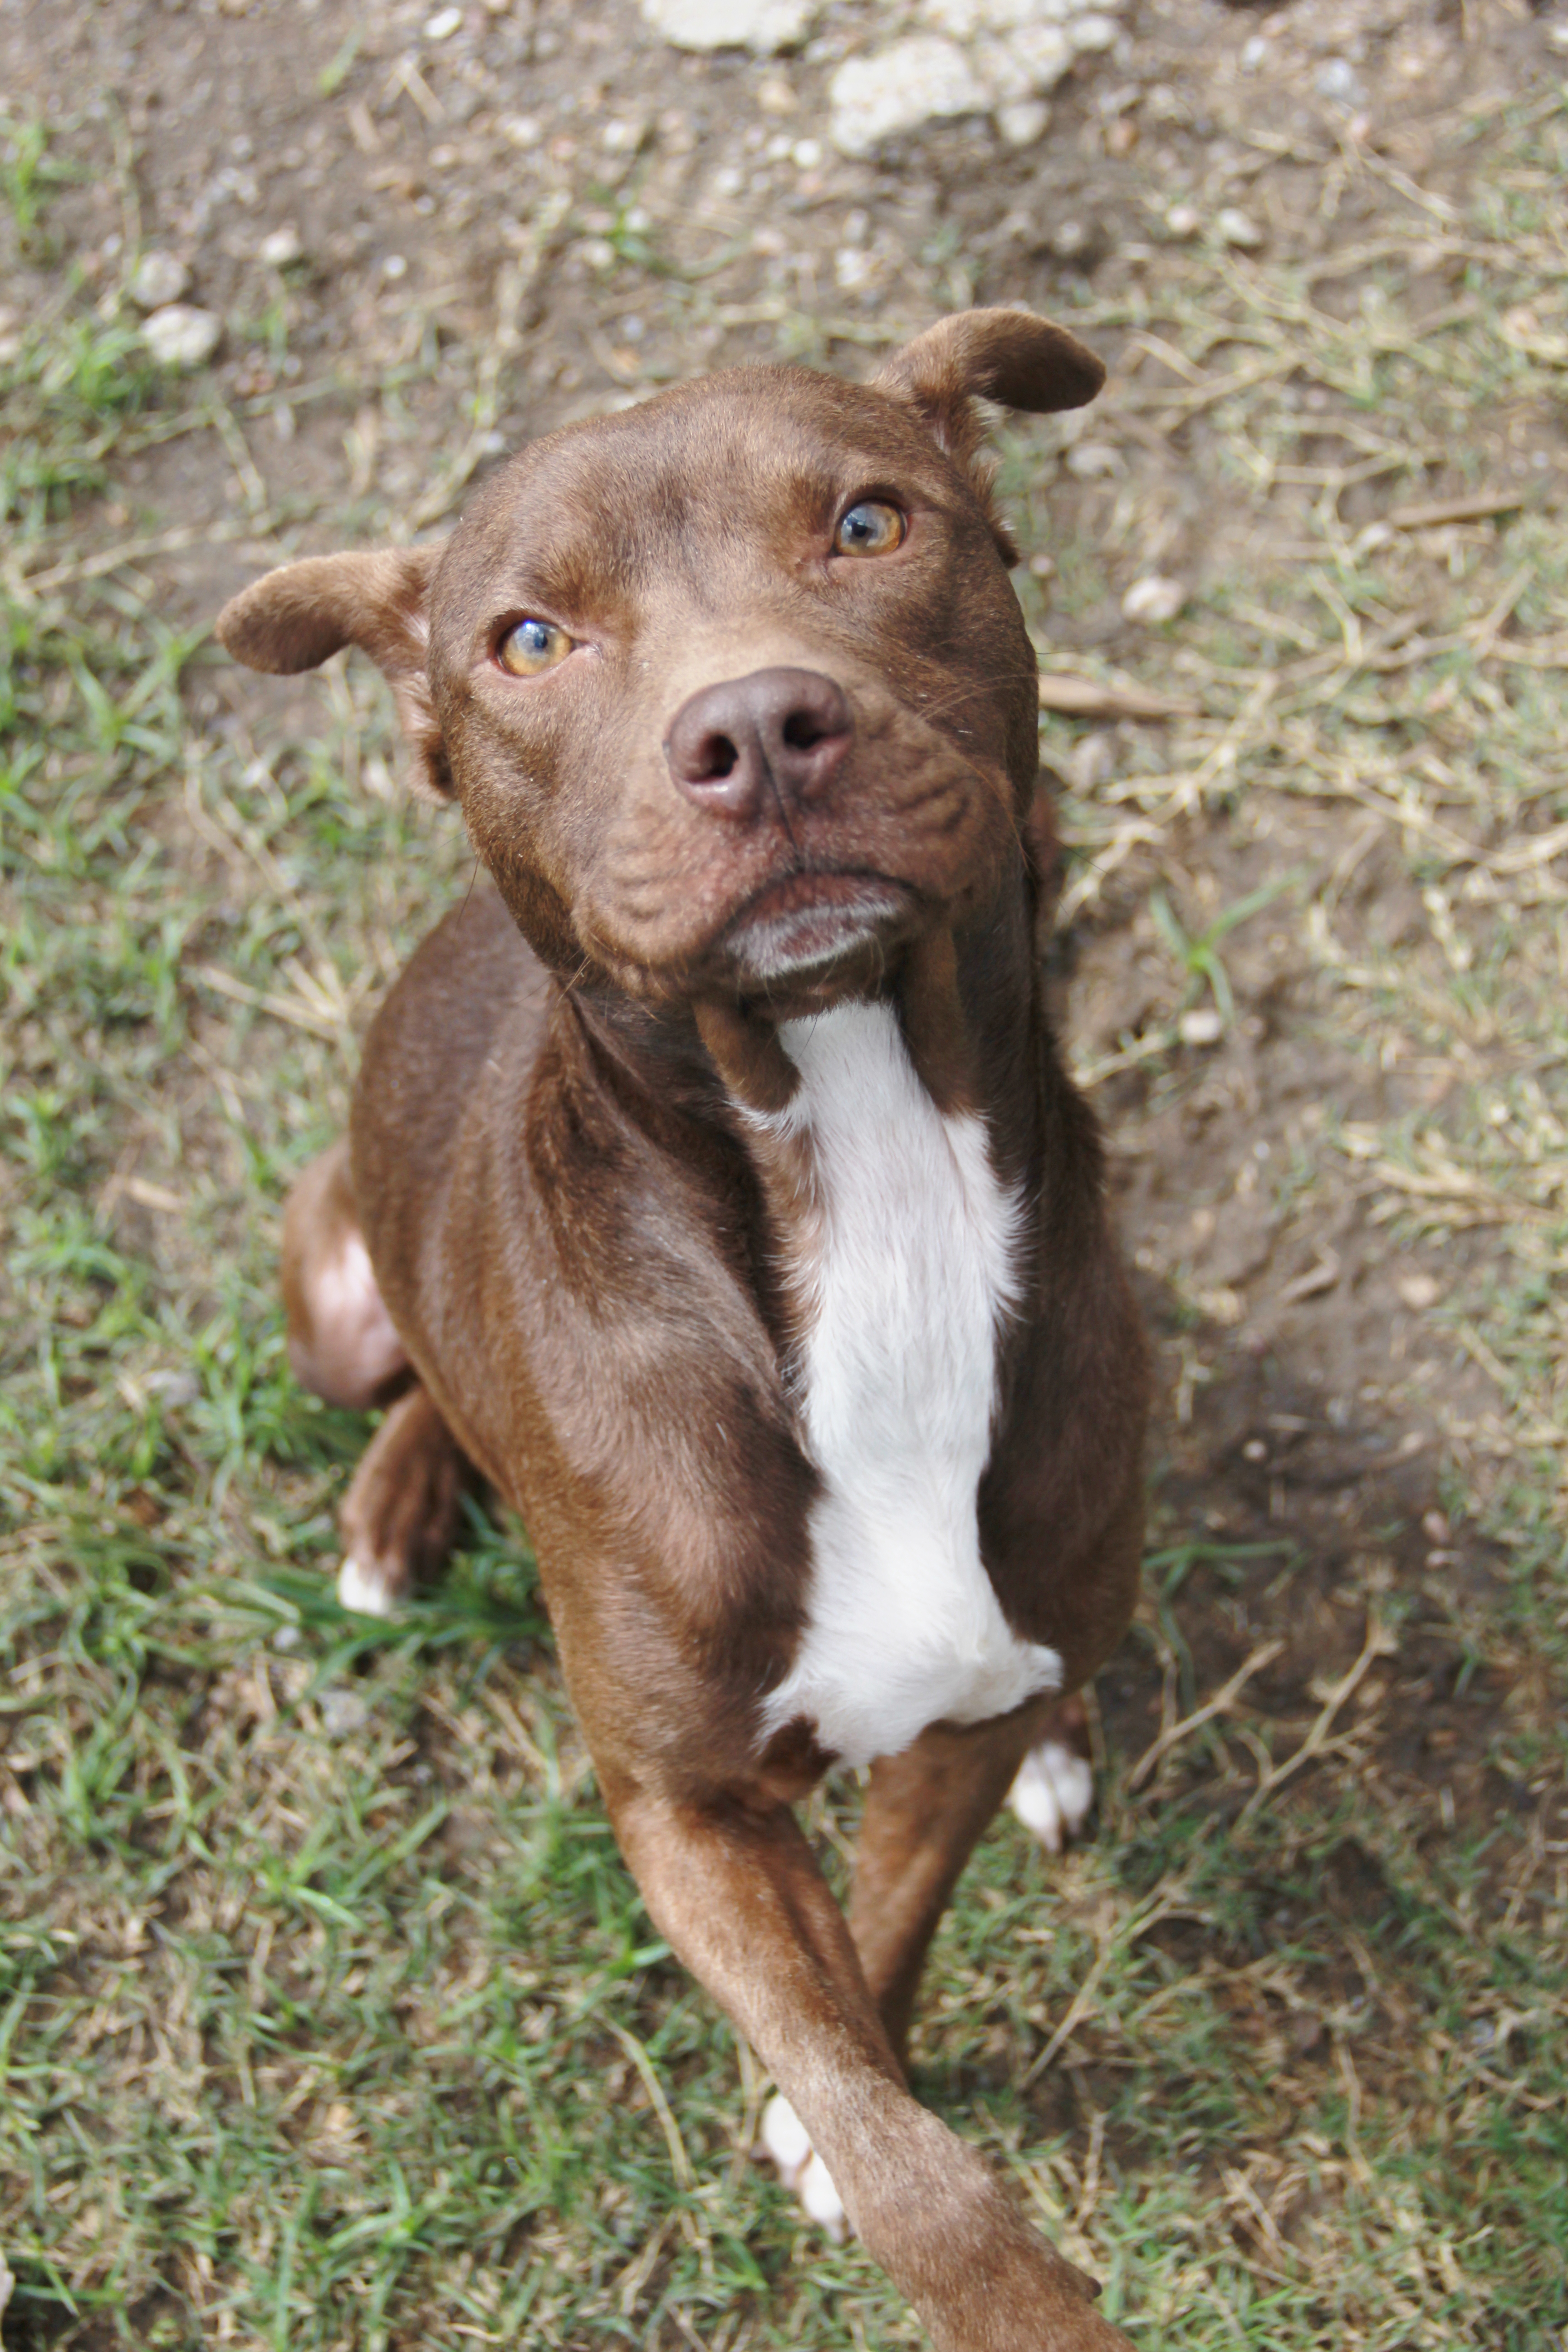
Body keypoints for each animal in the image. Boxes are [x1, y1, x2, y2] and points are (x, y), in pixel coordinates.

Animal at [217, 317, 1152, 2352]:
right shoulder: (685, 1810)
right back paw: (394, 1510)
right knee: (404, 1376)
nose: (757, 731)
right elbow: (905, 2167)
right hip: (332, 1287)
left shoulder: (942, 1726)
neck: (862, 1174)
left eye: (870, 524)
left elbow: (888, 1938)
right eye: (529, 640)